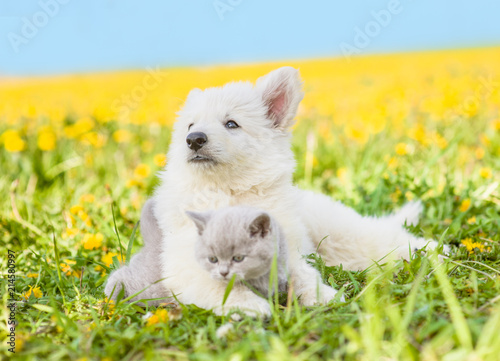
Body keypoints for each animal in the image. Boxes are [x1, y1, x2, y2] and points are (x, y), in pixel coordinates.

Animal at [153, 66, 442, 314]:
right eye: (190, 126)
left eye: (231, 124)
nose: (194, 140)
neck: (227, 191)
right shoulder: (184, 261)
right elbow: (215, 283)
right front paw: (245, 304)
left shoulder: (286, 248)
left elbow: (303, 273)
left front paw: (320, 295)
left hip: (341, 232)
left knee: (384, 237)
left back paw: (430, 249)